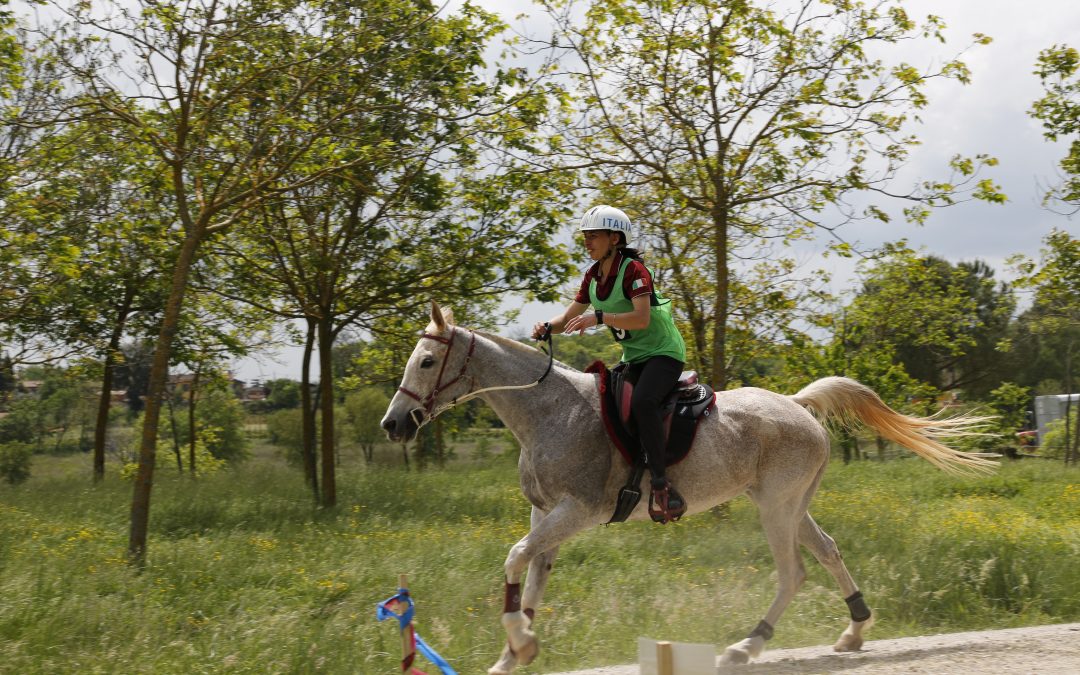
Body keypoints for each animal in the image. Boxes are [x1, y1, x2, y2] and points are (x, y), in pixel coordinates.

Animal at [380, 302, 993, 669]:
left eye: (427, 361)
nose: (393, 424)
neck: (548, 411)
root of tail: (796, 405)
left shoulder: (577, 511)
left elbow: (515, 560)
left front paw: (521, 643)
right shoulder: (545, 514)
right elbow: (531, 579)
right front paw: (514, 653)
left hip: (776, 508)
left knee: (793, 570)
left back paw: (746, 646)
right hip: (791, 504)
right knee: (827, 551)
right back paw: (854, 632)